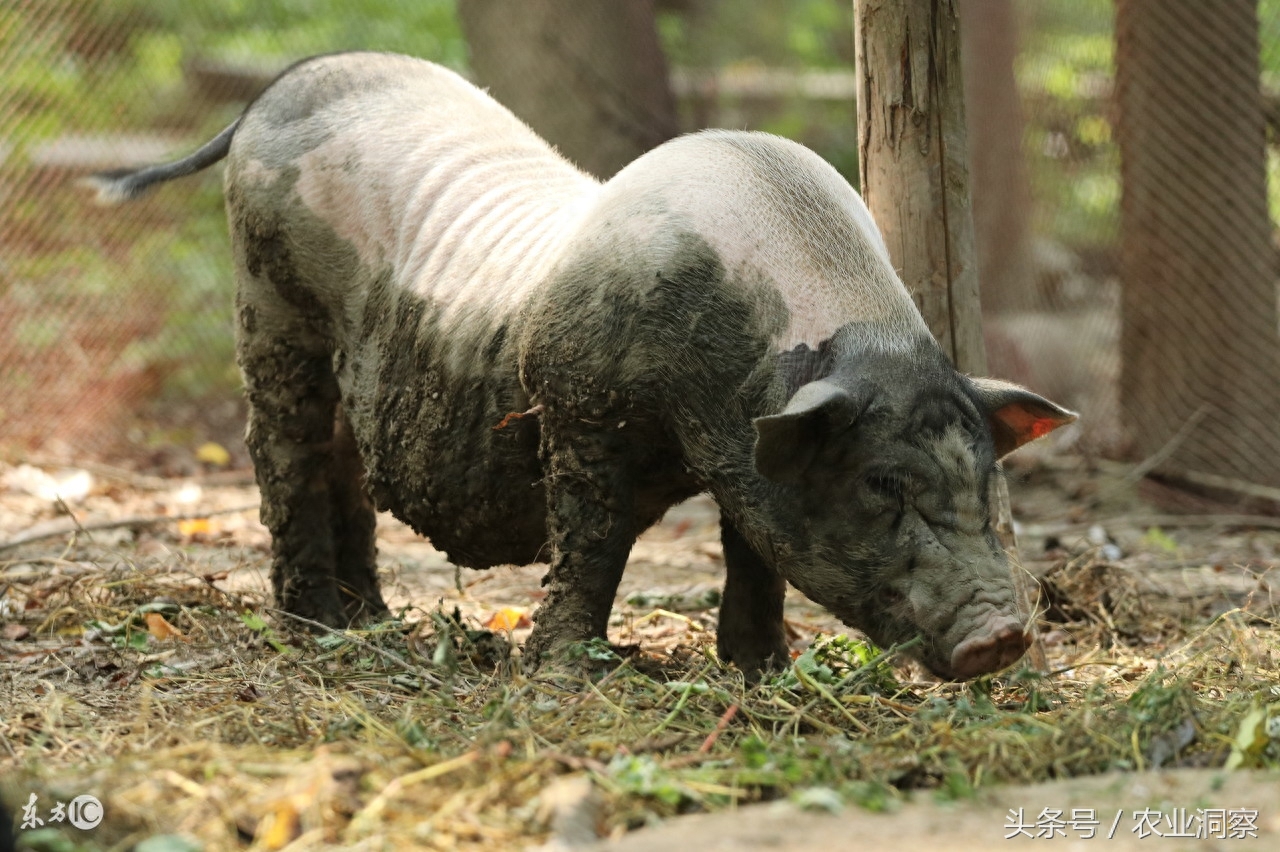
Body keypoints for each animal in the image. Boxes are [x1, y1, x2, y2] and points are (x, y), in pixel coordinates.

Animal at [85, 51, 1075, 675]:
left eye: (986, 479)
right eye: (881, 484)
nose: (1003, 636)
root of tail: (274, 94)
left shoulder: (739, 453)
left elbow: (753, 547)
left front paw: (766, 673)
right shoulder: (579, 404)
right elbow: (593, 540)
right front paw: (568, 670)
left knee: (343, 462)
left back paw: (372, 621)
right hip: (270, 303)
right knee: (283, 452)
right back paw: (316, 631)